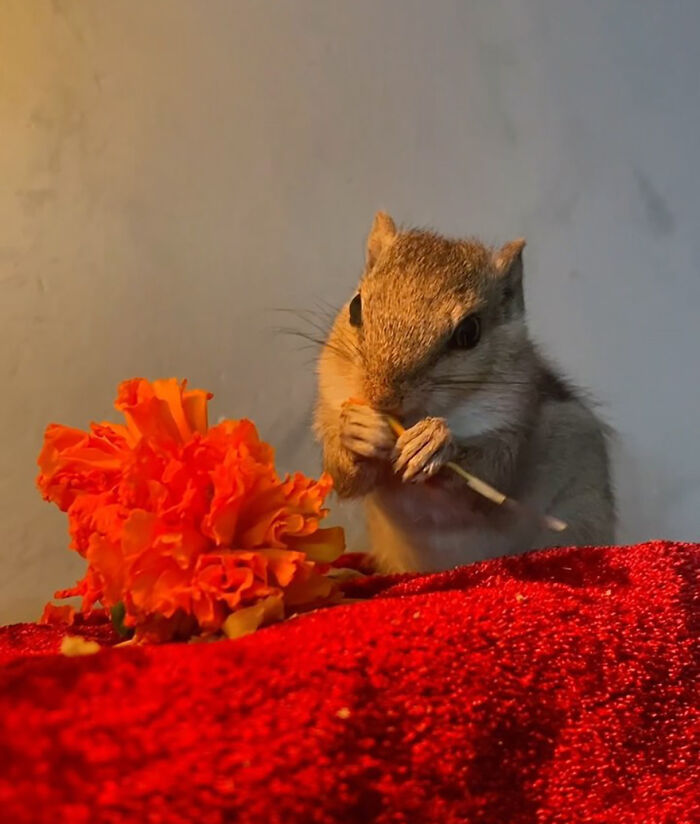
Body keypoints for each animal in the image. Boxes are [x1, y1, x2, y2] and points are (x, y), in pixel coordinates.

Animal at [314, 212, 616, 572]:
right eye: (356, 307)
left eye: (470, 332)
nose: (381, 397)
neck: (411, 419)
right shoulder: (330, 406)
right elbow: (343, 475)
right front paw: (357, 429)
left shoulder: (514, 426)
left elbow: (490, 476)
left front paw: (433, 443)